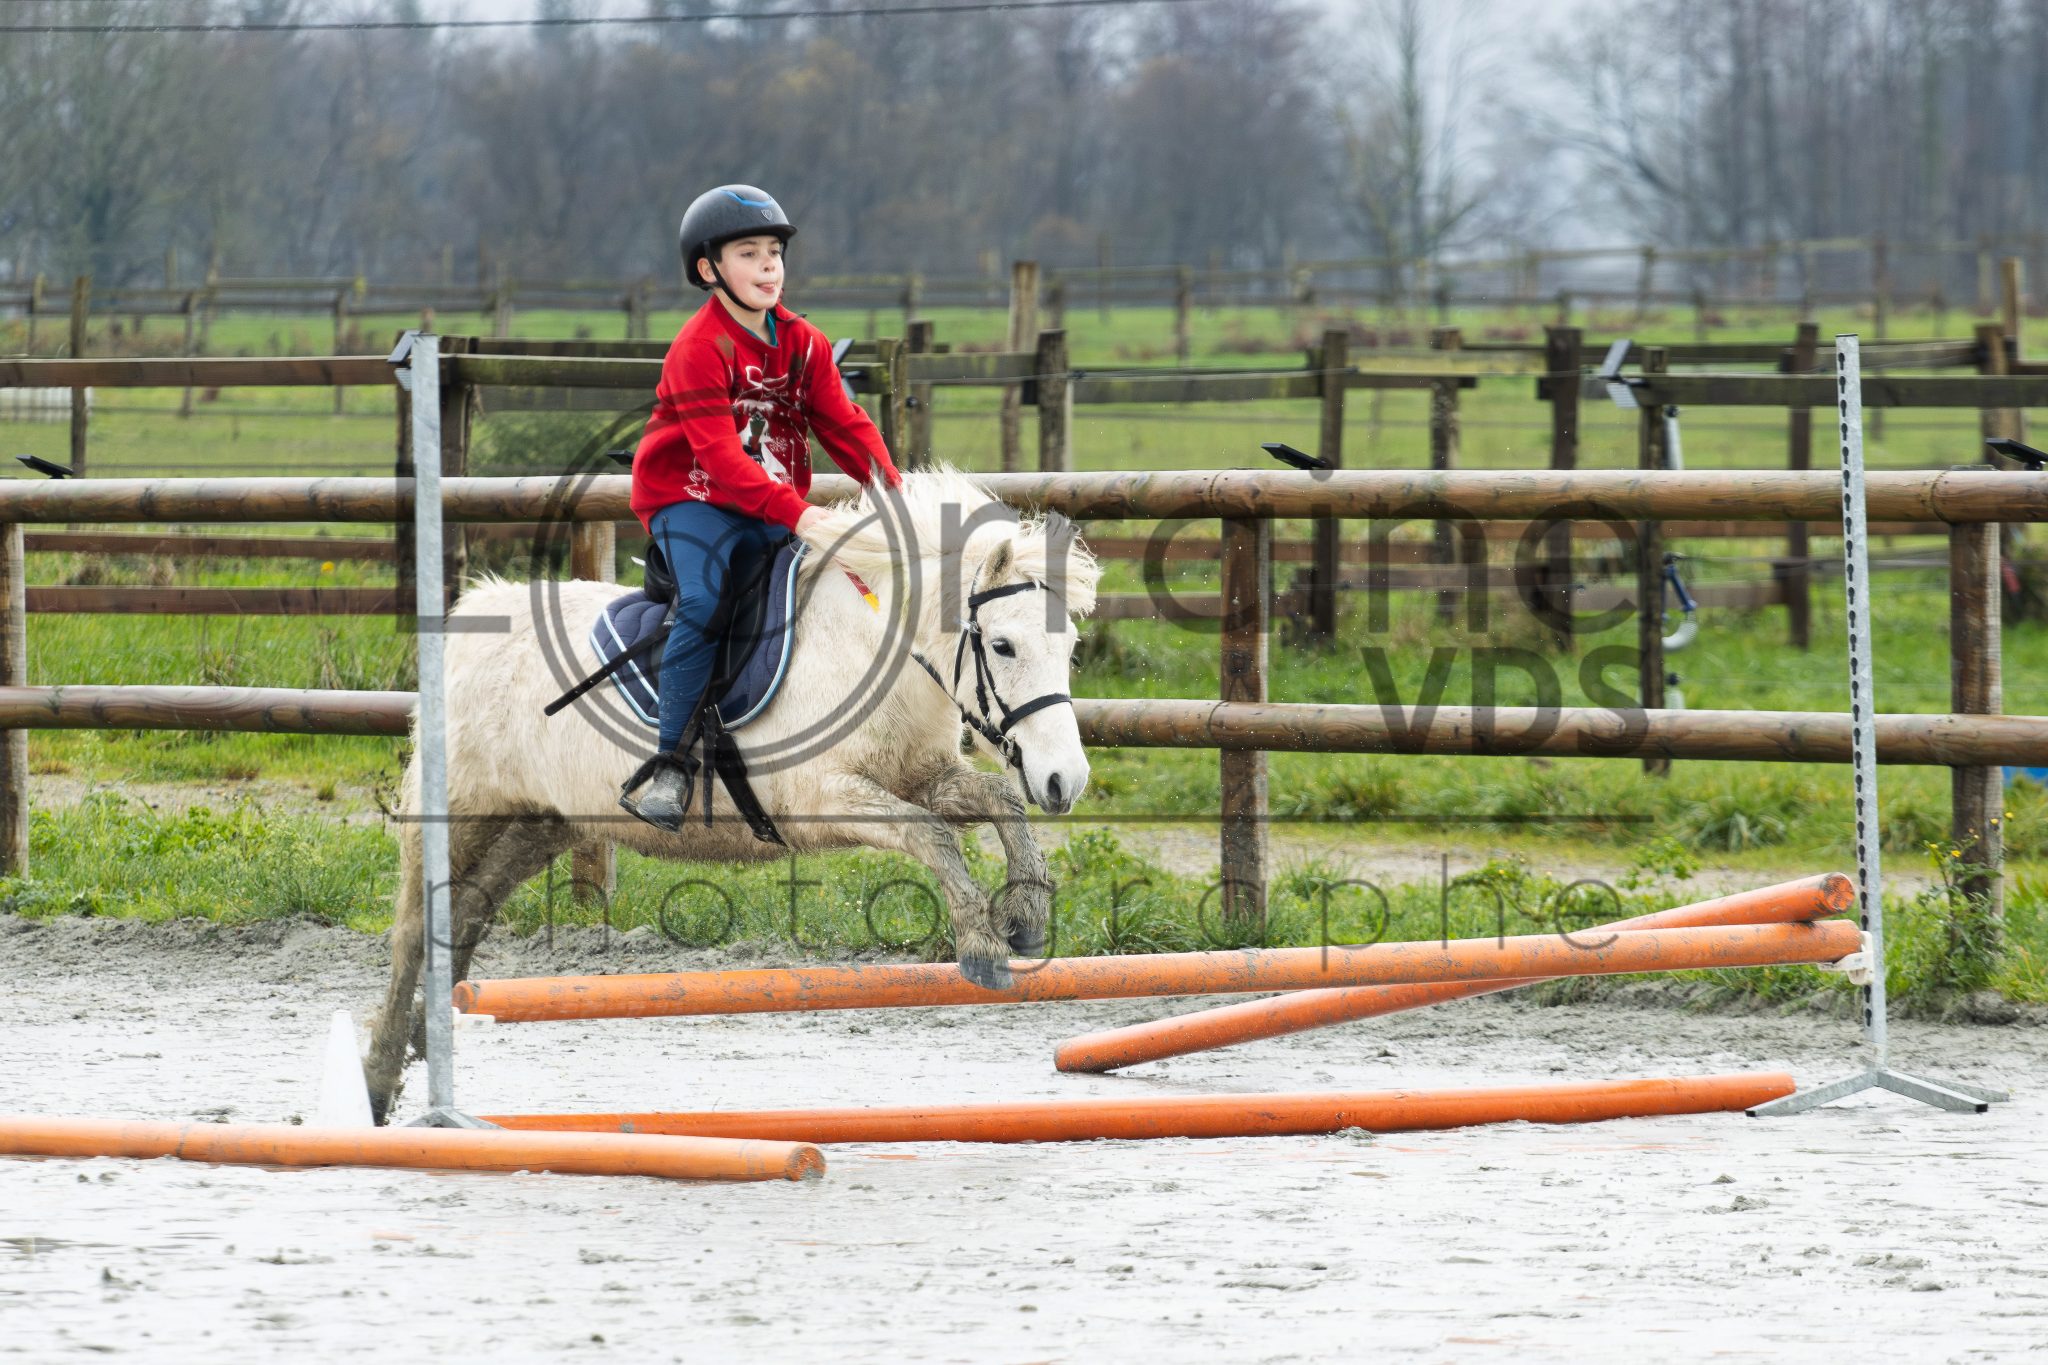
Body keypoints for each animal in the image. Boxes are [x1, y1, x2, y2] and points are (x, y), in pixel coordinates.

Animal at [362, 468, 1101, 1123]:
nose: (1065, 781)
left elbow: (998, 801)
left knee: (464, 914)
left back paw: (429, 1039)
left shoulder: (923, 775)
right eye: (1003, 645)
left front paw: (1028, 912)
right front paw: (982, 943)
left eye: (1068, 645)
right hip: (461, 811)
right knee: (414, 926)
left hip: (540, 822)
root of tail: (472, 615)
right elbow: (932, 833)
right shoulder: (825, 799)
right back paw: (378, 1078)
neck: (873, 646)